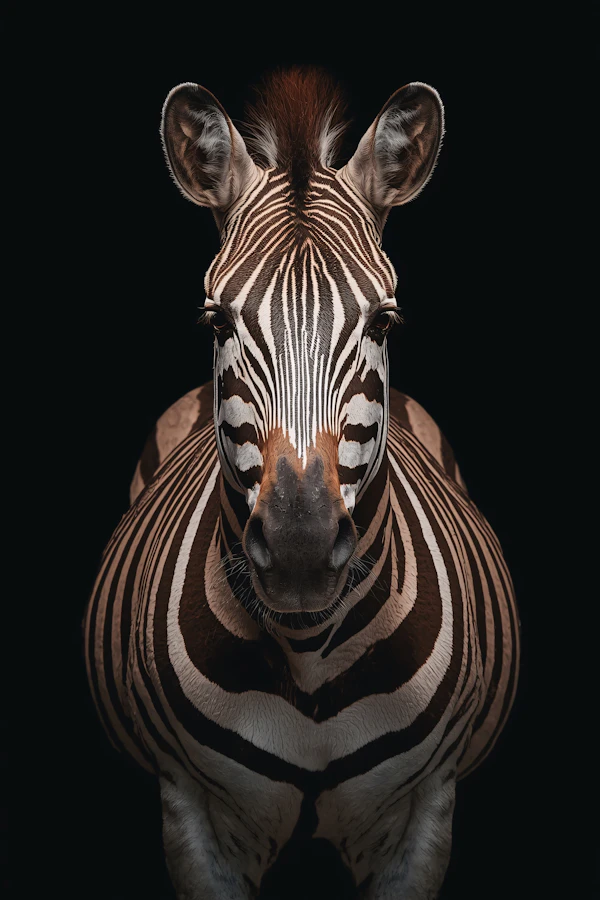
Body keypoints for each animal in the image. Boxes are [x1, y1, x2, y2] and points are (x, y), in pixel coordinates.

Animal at [84, 67, 519, 899]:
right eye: (217, 324)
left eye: (384, 324)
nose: (298, 552)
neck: (307, 647)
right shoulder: (191, 815)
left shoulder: (426, 811)